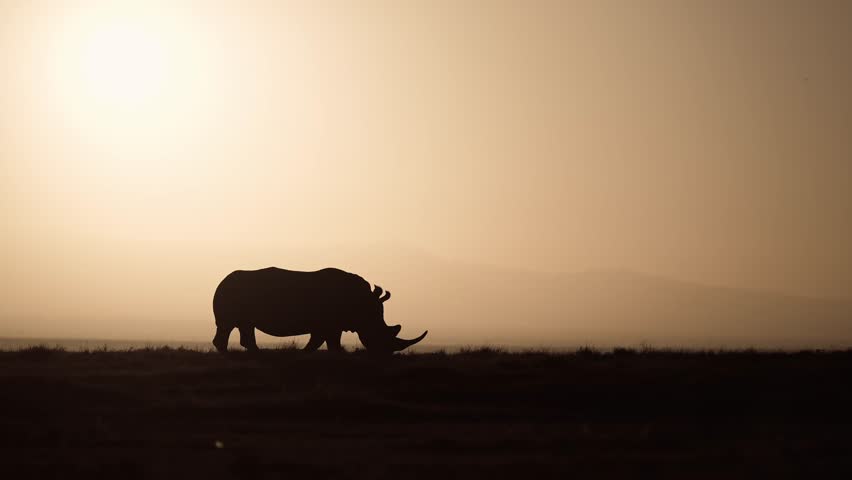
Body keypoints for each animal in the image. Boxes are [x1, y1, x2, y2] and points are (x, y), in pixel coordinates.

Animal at [212, 267, 427, 353]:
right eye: (380, 333)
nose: (385, 353)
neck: (364, 307)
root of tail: (221, 282)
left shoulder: (331, 323)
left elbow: (324, 341)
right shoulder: (328, 323)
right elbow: (324, 341)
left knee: (243, 325)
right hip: (232, 293)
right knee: (229, 325)